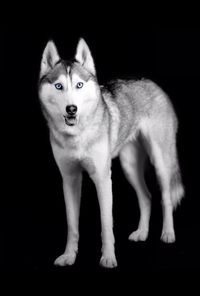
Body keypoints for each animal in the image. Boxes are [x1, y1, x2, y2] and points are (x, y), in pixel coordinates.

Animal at [38, 37, 184, 268]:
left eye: (79, 85)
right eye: (59, 86)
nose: (72, 109)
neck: (78, 135)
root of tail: (152, 83)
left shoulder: (102, 179)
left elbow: (106, 225)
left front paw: (108, 258)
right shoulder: (70, 179)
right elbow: (72, 226)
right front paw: (69, 256)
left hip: (160, 162)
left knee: (166, 197)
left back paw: (168, 233)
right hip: (129, 167)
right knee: (147, 197)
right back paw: (142, 233)